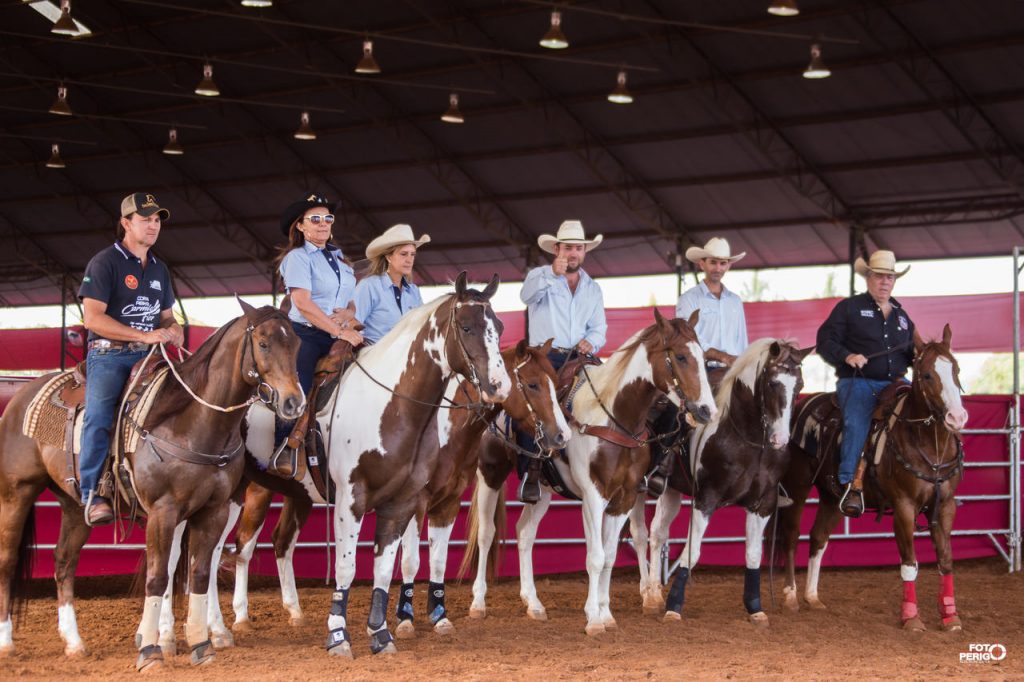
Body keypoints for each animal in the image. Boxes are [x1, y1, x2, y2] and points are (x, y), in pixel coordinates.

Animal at [0, 301, 303, 667]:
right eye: (263, 343)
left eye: (297, 343)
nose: (293, 402)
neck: (191, 421)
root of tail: (20, 397)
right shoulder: (163, 511)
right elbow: (159, 577)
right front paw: (151, 650)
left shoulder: (213, 510)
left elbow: (200, 573)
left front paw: (201, 644)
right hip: (16, 492)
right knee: (7, 561)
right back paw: (7, 642)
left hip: (74, 505)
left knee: (63, 562)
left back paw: (74, 642)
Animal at [325, 270, 509, 655]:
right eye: (466, 327)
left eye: (498, 327)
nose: (500, 387)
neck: (389, 406)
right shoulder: (351, 499)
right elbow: (348, 568)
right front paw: (338, 636)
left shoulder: (402, 501)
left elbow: (385, 568)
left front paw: (381, 635)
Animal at [464, 307, 712, 630]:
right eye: (680, 357)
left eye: (702, 356)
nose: (706, 410)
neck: (614, 417)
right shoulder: (594, 496)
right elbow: (594, 556)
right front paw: (593, 619)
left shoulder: (624, 498)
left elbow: (609, 555)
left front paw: (606, 614)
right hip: (490, 472)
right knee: (486, 533)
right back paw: (478, 603)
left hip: (542, 490)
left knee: (525, 533)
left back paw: (534, 603)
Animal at [638, 337, 815, 622]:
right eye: (772, 383)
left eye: (799, 385)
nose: (779, 440)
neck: (746, 439)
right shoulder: (706, 499)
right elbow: (692, 551)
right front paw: (674, 607)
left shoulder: (763, 504)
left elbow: (752, 555)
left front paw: (755, 608)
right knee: (640, 534)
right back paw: (647, 595)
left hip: (670, 490)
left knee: (657, 533)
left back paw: (654, 595)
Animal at [774, 321, 966, 630]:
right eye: (927, 374)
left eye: (956, 369)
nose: (957, 418)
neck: (927, 442)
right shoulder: (904, 507)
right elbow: (909, 563)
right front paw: (911, 618)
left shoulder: (945, 505)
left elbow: (946, 560)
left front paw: (950, 616)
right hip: (796, 487)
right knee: (791, 537)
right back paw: (791, 597)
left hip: (832, 497)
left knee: (818, 537)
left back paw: (813, 597)